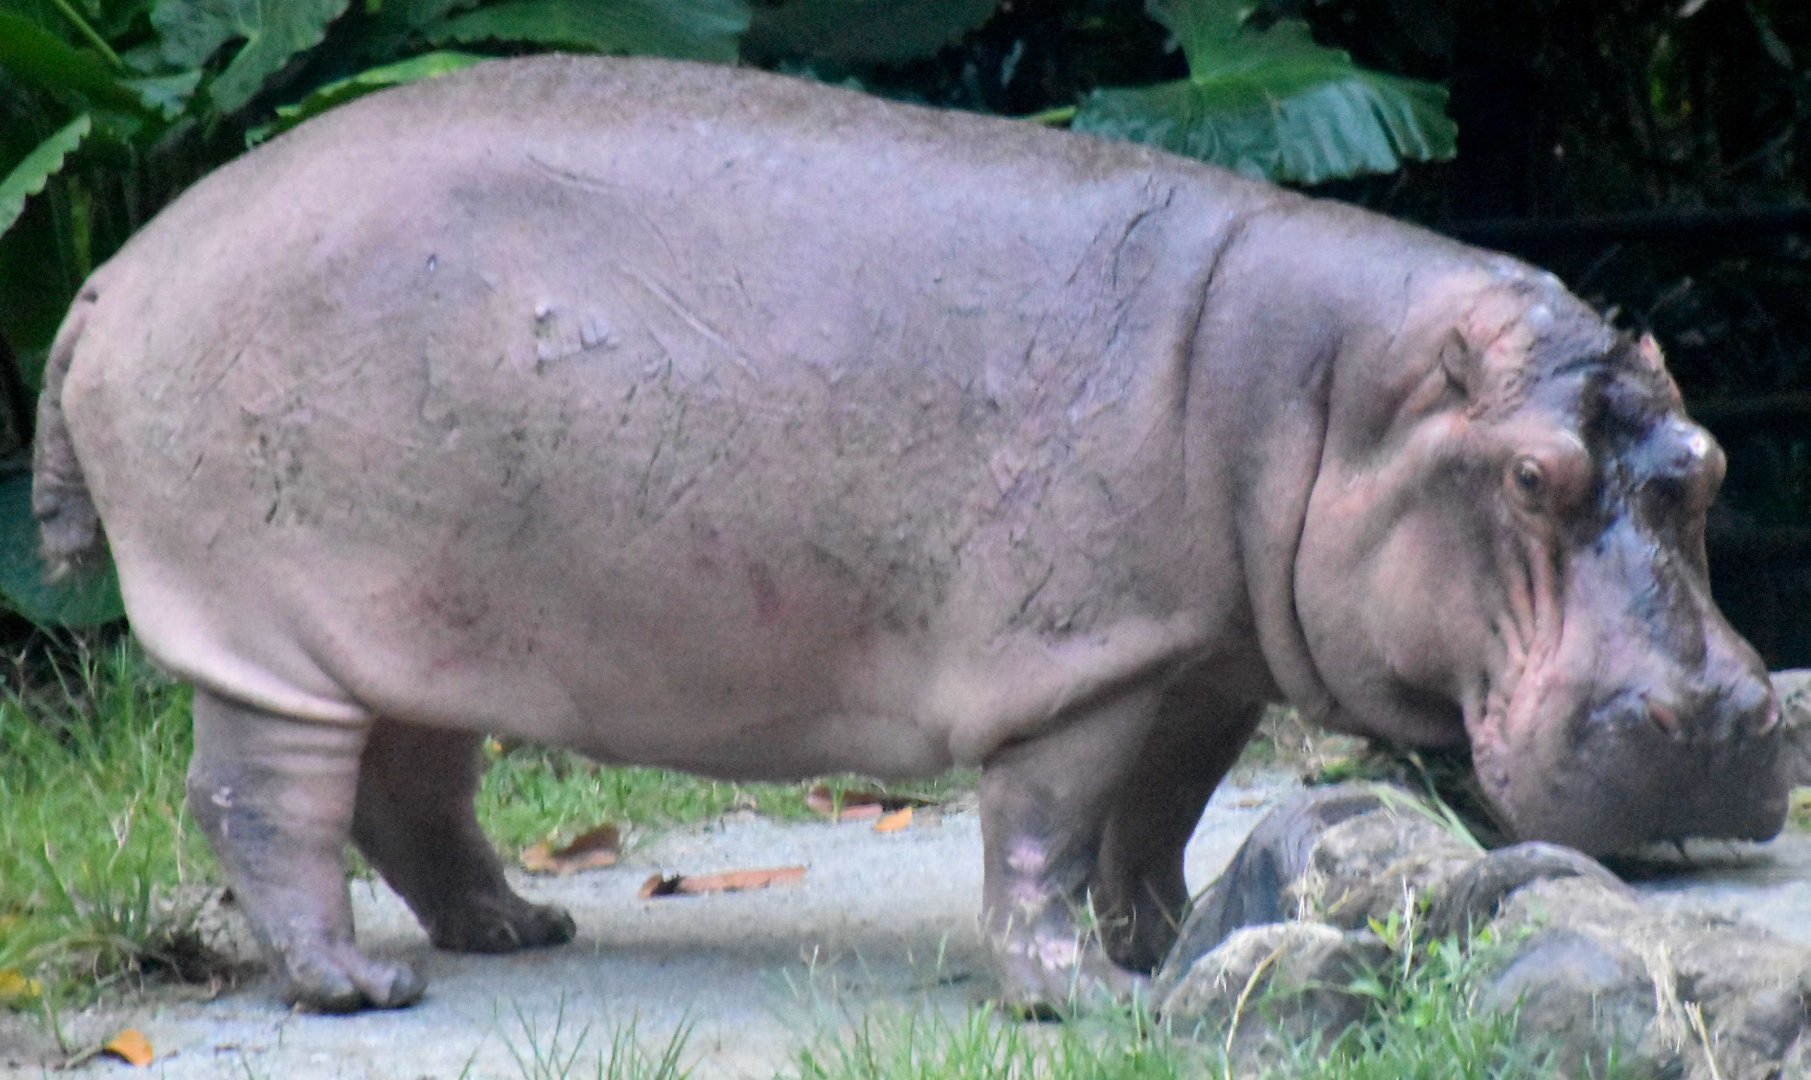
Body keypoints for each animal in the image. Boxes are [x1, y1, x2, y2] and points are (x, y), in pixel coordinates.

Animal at [31, 55, 1787, 1013]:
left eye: (1704, 461)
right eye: (1530, 482)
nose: (1718, 719)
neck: (1328, 392)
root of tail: (113, 271)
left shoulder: (1195, 653)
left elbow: (1159, 809)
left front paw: (1164, 943)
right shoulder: (1074, 660)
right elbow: (1044, 828)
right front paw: (1082, 995)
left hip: (424, 617)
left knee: (415, 789)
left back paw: (522, 929)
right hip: (268, 627)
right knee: (262, 803)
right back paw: (359, 986)